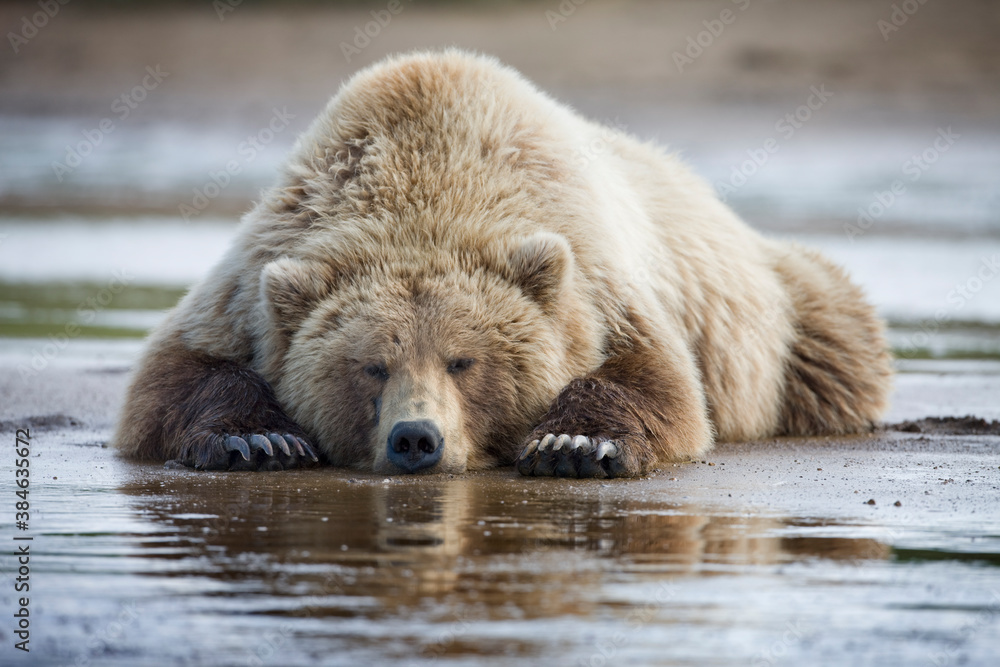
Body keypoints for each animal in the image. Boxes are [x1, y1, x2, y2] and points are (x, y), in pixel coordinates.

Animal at [113, 49, 892, 478]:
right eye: (372, 365)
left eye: (463, 360)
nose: (416, 438)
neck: (427, 178)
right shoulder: (260, 270)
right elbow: (172, 376)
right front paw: (259, 438)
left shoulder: (594, 276)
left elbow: (659, 383)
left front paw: (575, 443)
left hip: (785, 312)